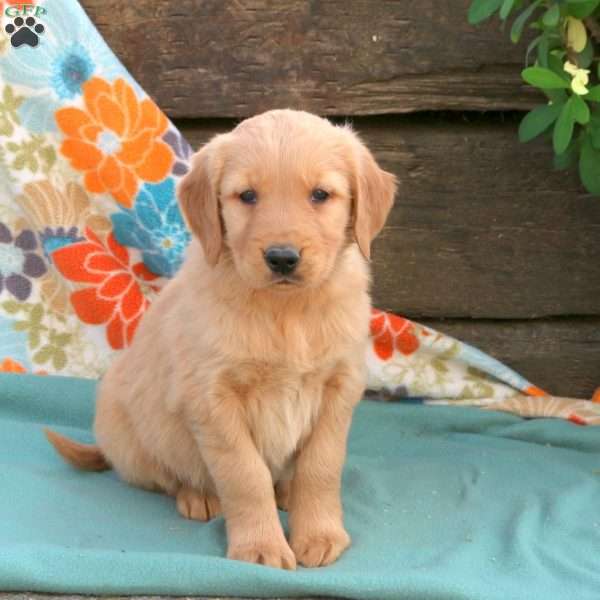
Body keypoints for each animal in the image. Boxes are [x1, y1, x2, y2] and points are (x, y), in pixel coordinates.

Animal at [44, 109, 396, 572]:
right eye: (247, 196)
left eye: (320, 195)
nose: (282, 258)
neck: (286, 311)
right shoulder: (212, 398)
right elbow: (246, 475)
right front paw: (261, 546)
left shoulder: (340, 387)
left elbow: (321, 467)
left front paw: (319, 534)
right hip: (133, 434)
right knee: (168, 476)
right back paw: (200, 496)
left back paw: (286, 491)